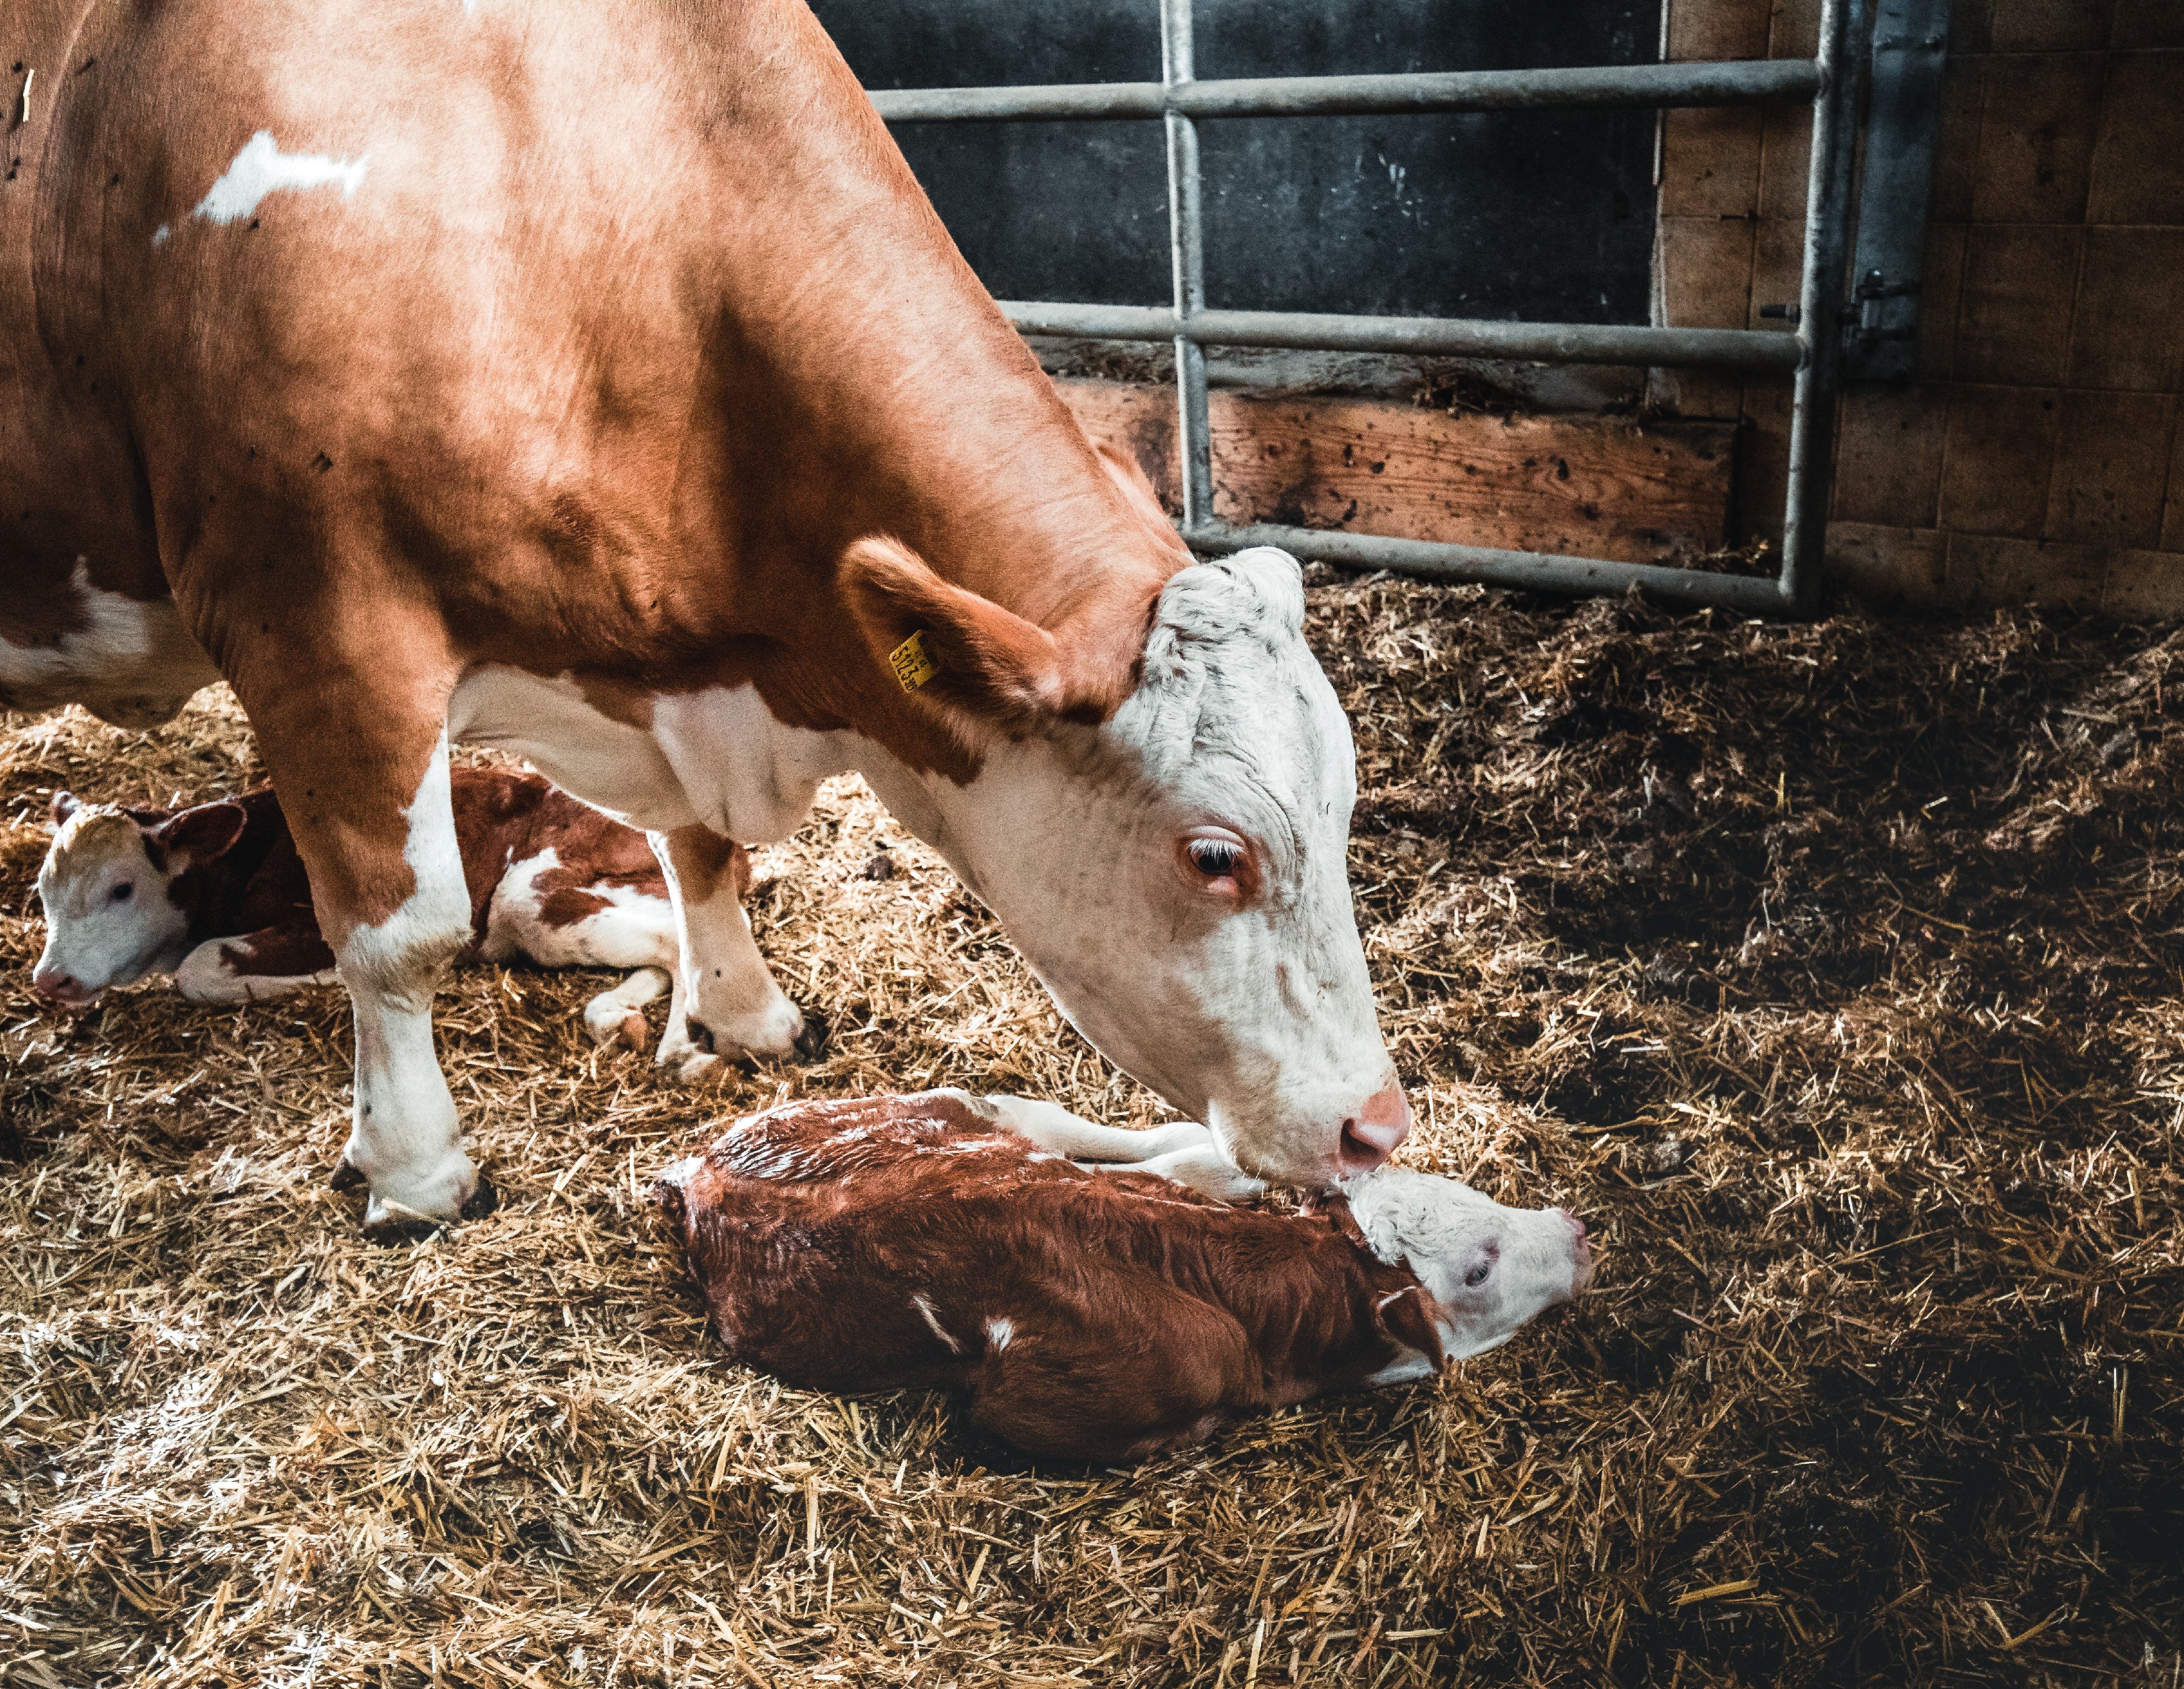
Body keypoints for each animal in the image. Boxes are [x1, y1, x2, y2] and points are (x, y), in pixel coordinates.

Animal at [34, 769, 703, 1048]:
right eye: (43, 892)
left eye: (122, 888)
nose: (50, 979)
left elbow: (199, 967)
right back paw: (617, 1018)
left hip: (532, 897)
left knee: (678, 942)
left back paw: (682, 1049)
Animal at [646, 1088, 1590, 1459]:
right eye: (1478, 1267)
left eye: (1468, 1190)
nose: (1576, 1229)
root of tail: (701, 1172)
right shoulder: (1024, 1410)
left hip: (943, 1106)